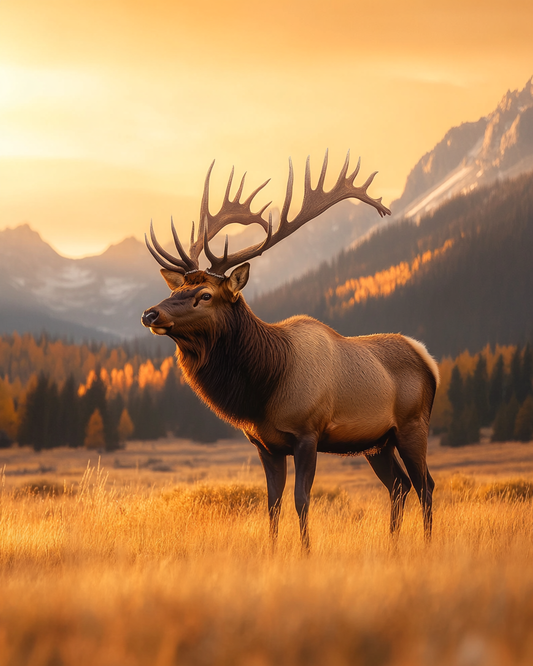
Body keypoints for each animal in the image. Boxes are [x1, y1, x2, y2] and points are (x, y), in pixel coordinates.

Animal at [141, 152, 439, 549]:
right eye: (176, 290)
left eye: (204, 295)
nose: (150, 313)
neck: (263, 388)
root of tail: (428, 359)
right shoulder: (265, 444)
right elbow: (272, 504)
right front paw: (272, 550)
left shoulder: (307, 433)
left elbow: (301, 499)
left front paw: (306, 550)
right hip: (378, 442)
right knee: (399, 486)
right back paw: (392, 544)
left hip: (412, 425)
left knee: (425, 485)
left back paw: (427, 543)